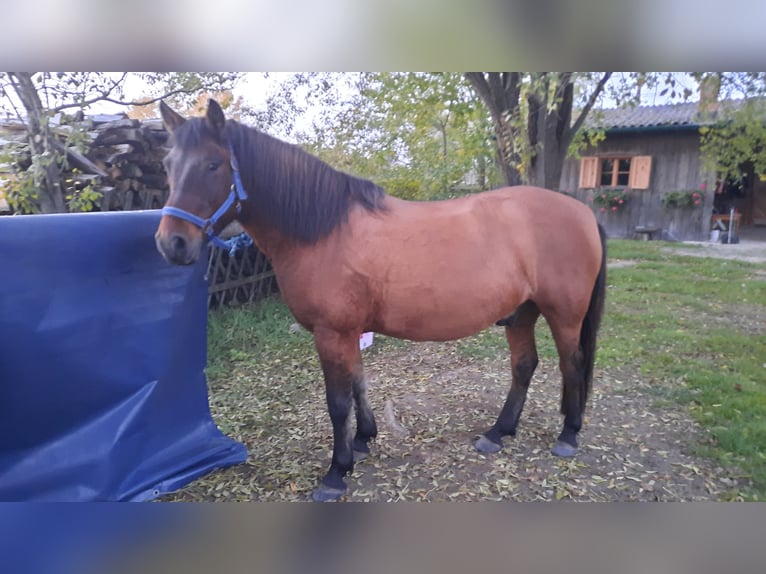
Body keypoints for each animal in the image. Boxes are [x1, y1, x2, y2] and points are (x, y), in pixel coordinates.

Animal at [156, 100, 608, 504]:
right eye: (168, 165)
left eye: (213, 165)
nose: (171, 244)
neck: (323, 230)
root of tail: (582, 212)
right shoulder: (349, 332)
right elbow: (359, 384)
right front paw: (362, 440)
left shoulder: (331, 333)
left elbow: (337, 402)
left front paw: (336, 473)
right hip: (521, 314)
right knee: (525, 366)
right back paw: (499, 432)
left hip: (564, 315)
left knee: (572, 364)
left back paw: (568, 434)